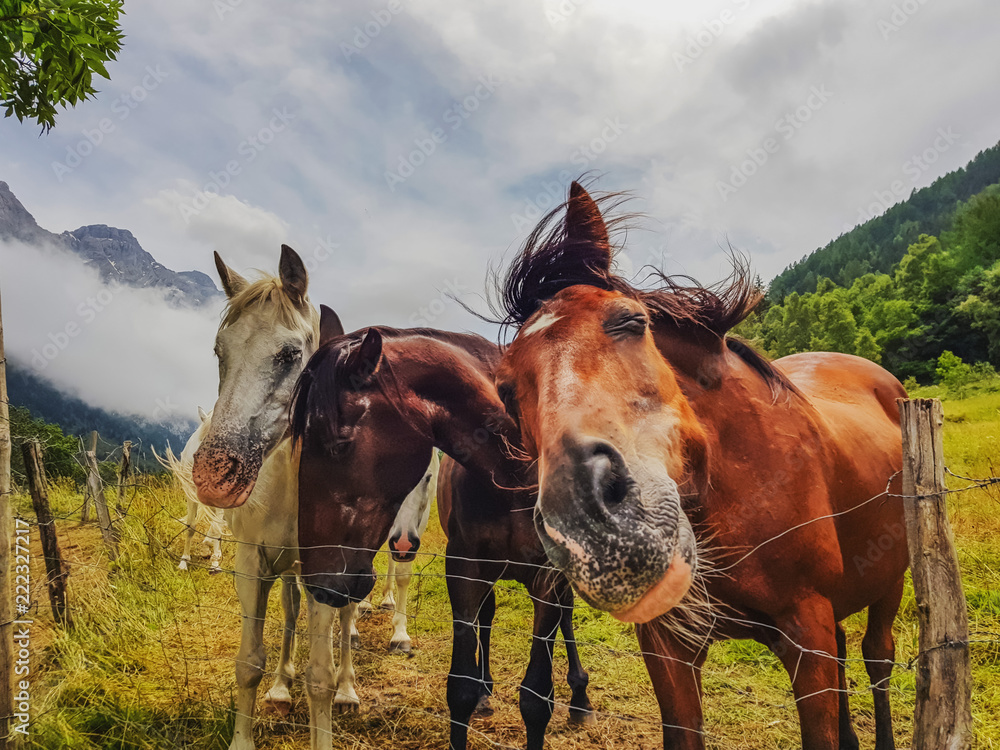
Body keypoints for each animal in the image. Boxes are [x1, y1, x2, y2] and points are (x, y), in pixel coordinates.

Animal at [189, 245, 436, 748]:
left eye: (289, 354)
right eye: (220, 351)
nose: (214, 475)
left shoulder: (329, 565)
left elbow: (319, 674)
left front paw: (334, 694)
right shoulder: (253, 562)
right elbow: (250, 661)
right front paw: (251, 724)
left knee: (346, 619)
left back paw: (348, 688)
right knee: (290, 609)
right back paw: (282, 686)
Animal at [290, 324, 592, 750]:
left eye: (339, 444)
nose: (319, 584)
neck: (518, 479)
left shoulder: (547, 578)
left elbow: (537, 698)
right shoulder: (464, 570)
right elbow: (460, 688)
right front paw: (477, 692)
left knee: (566, 615)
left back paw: (580, 697)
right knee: (488, 617)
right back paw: (487, 691)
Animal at [492, 184, 908, 750]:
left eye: (630, 322)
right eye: (506, 389)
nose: (592, 526)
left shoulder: (807, 629)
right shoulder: (667, 642)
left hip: (892, 580)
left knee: (878, 657)